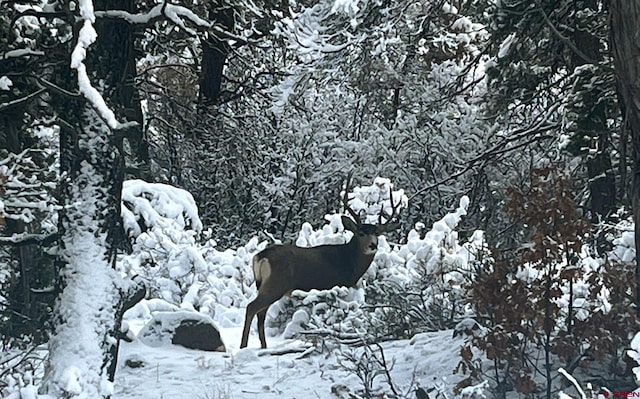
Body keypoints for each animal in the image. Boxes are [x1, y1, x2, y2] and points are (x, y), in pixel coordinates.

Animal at [240, 177, 400, 348]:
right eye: (361, 233)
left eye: (378, 233)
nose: (373, 245)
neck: (350, 261)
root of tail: (260, 256)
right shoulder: (339, 284)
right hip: (277, 283)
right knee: (252, 307)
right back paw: (243, 346)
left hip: (267, 285)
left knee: (261, 313)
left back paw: (263, 347)